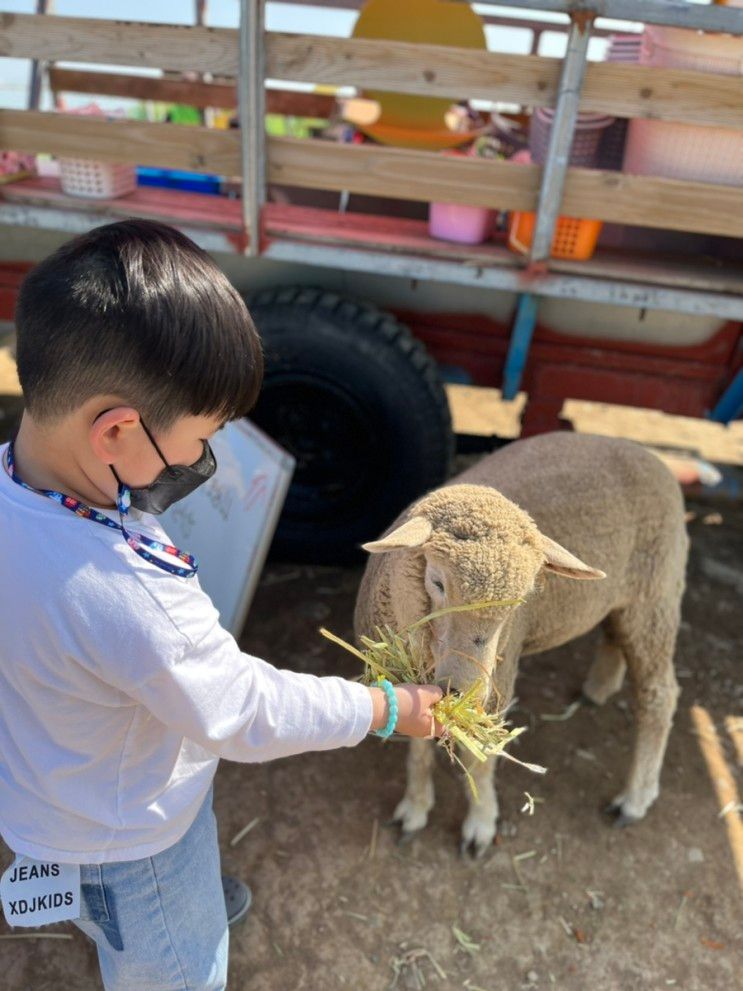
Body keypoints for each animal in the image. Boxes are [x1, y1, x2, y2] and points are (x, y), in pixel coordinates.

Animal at [358, 434, 688, 860]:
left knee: (659, 694)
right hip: (627, 599)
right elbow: (417, 740)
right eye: (437, 582)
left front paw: (480, 823)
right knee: (616, 633)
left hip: (657, 593)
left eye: (523, 600)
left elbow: (478, 756)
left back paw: (636, 798)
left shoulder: (499, 676)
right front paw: (414, 808)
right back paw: (600, 686)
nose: (464, 693)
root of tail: (651, 454)